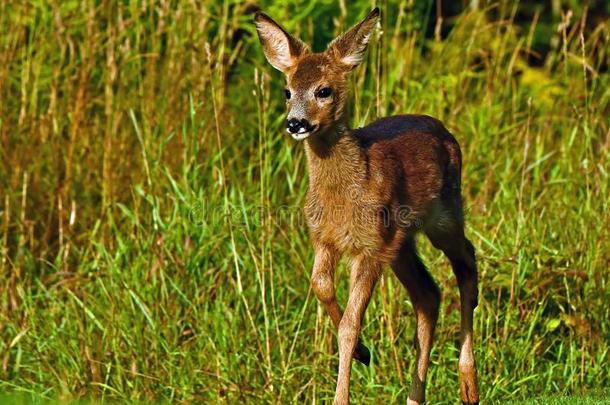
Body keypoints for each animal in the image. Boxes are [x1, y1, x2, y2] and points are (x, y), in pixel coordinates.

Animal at [254, 7, 478, 404]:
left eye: (323, 90)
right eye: (287, 90)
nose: (295, 123)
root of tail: (446, 131)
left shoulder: (371, 247)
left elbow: (349, 325)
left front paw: (343, 388)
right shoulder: (325, 239)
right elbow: (320, 286)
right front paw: (363, 353)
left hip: (444, 214)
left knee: (466, 262)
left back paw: (469, 382)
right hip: (402, 242)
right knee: (429, 294)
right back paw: (415, 395)